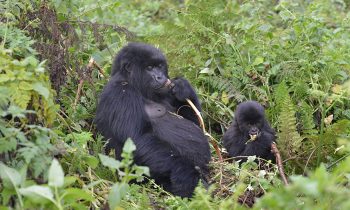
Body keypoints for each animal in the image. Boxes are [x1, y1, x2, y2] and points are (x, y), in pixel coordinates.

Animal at [95, 42, 211, 197]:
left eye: (160, 66)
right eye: (149, 68)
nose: (160, 77)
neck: (133, 83)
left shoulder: (167, 91)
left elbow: (196, 124)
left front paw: (183, 87)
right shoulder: (120, 93)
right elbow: (136, 139)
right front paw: (187, 174)